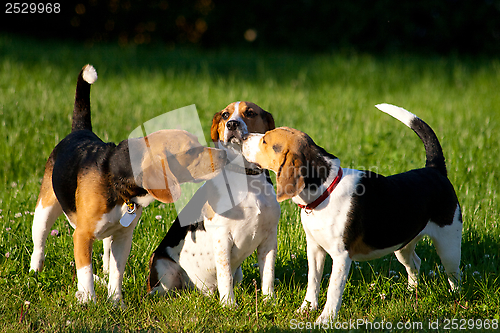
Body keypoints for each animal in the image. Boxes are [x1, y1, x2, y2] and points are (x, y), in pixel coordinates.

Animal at [147, 102, 282, 306]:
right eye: (225, 115)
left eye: (250, 113)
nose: (232, 124)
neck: (245, 178)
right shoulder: (222, 237)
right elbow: (225, 274)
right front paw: (229, 305)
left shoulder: (269, 238)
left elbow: (268, 274)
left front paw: (269, 301)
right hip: (165, 272)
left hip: (238, 274)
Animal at [241, 103, 460, 322]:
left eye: (265, 140)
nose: (243, 137)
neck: (324, 193)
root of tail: (434, 170)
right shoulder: (314, 249)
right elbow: (313, 281)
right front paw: (306, 309)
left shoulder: (341, 256)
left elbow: (333, 290)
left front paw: (325, 319)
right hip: (402, 245)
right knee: (415, 264)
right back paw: (411, 292)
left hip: (448, 245)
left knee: (454, 275)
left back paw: (455, 298)